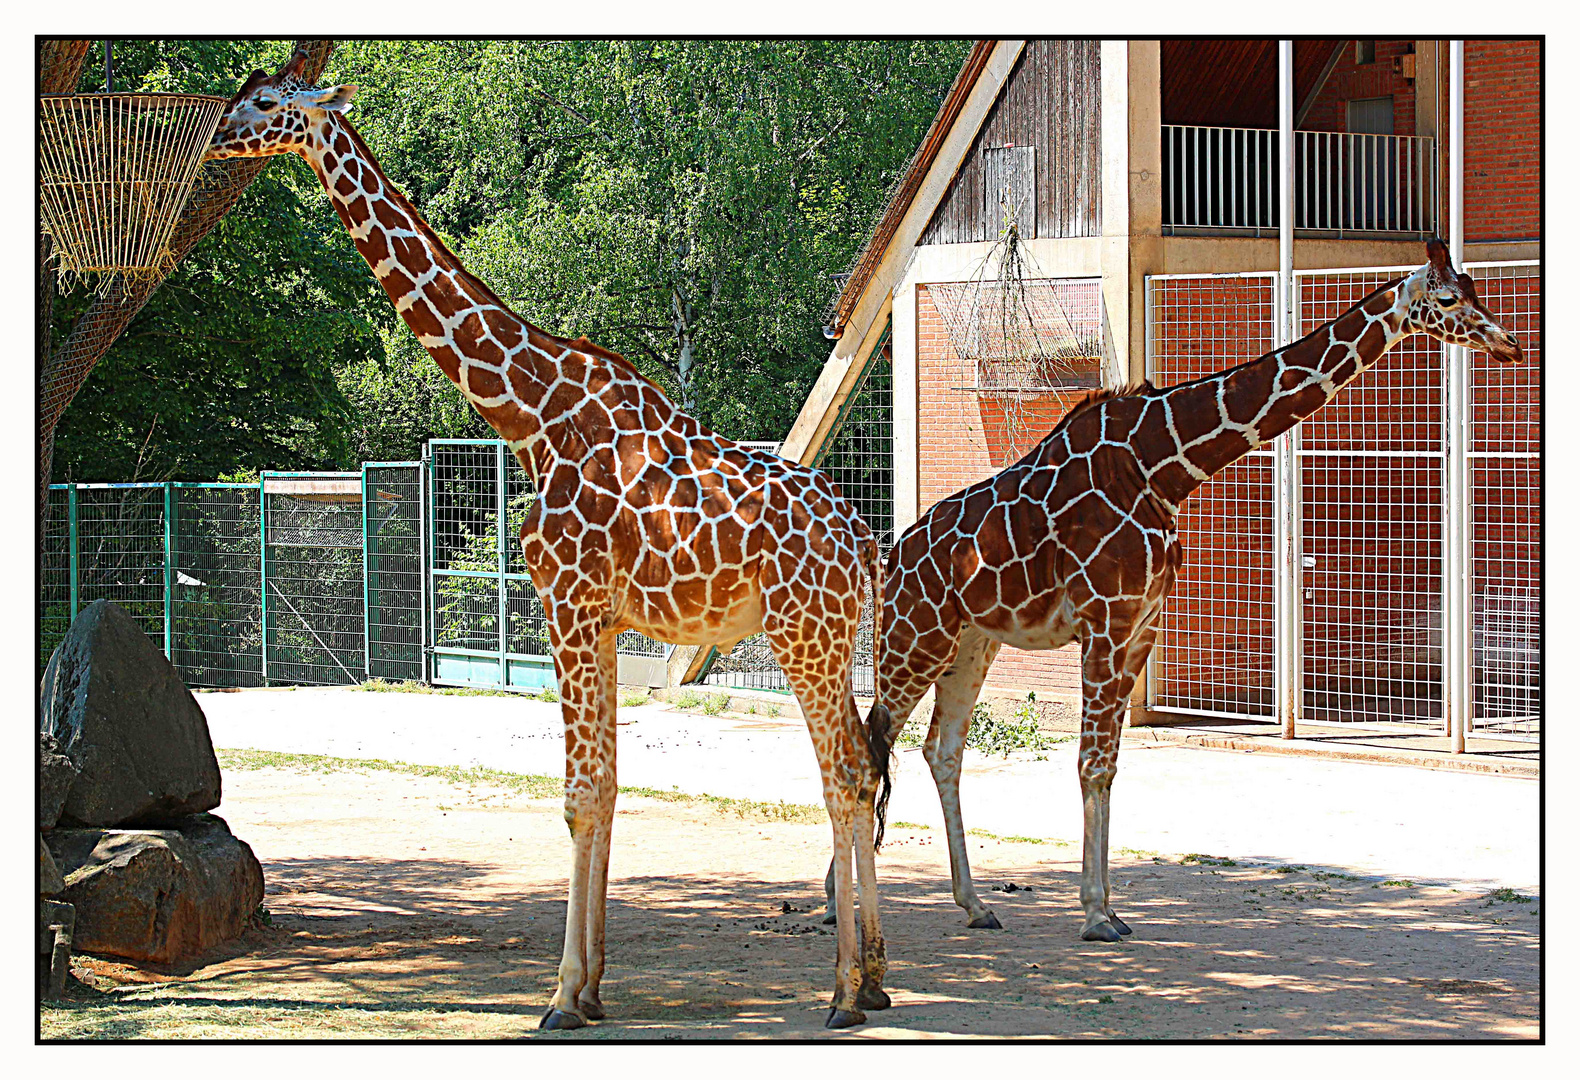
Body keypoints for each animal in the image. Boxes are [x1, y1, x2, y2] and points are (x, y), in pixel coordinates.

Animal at [211, 48, 897, 1029]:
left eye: (266, 101)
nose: (215, 138)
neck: (529, 414)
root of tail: (862, 536)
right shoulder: (601, 621)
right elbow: (605, 788)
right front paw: (595, 985)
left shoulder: (565, 603)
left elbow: (576, 795)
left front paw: (563, 996)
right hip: (834, 642)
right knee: (864, 771)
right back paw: (873, 978)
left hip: (804, 637)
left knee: (842, 774)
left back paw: (842, 993)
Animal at [846, 243, 1523, 934]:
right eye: (1447, 298)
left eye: (1474, 286)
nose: (1509, 343)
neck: (1163, 464)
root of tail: (891, 557)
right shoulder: (1106, 620)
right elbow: (1090, 760)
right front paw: (1095, 916)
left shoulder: (1142, 624)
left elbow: (1109, 764)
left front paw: (1108, 909)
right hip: (914, 638)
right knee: (871, 745)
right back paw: (844, 906)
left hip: (970, 644)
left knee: (940, 749)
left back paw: (975, 903)